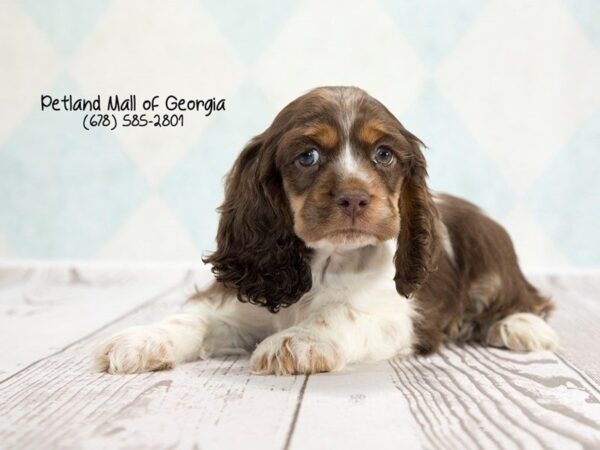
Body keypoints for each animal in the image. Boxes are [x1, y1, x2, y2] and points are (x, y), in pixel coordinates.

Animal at [95, 86, 556, 374]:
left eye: (384, 154)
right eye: (308, 156)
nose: (354, 198)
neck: (326, 262)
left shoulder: (398, 317)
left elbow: (340, 313)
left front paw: (296, 342)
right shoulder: (248, 301)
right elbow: (196, 319)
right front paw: (141, 340)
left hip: (494, 266)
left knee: (525, 299)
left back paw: (519, 327)